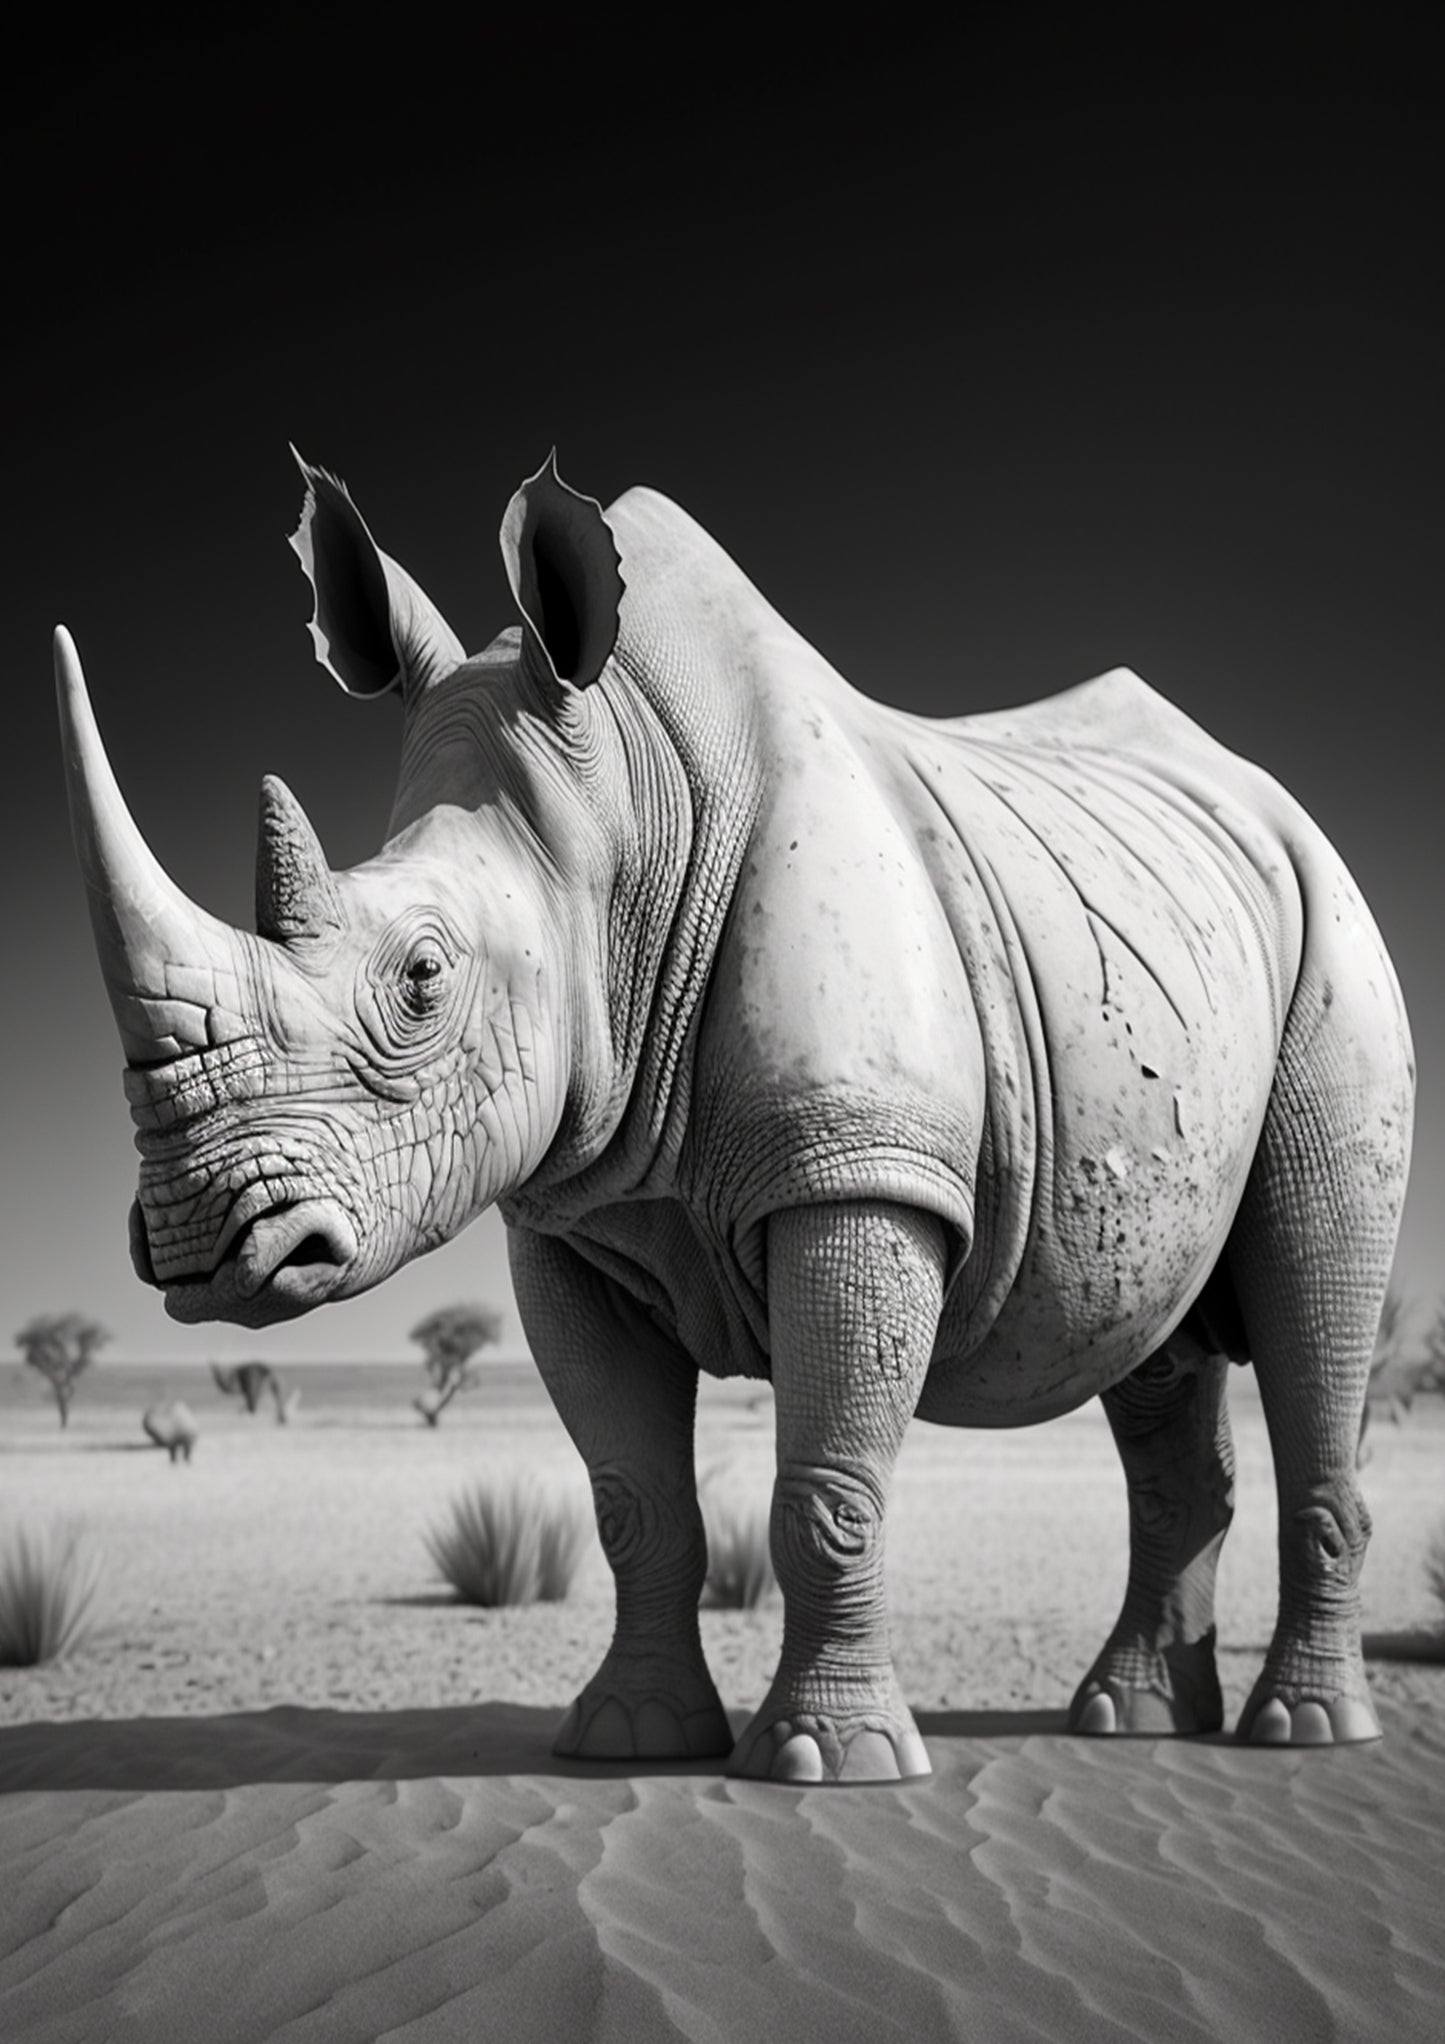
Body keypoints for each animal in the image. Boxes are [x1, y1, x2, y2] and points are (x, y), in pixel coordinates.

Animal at [55, 454, 1414, 1782]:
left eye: (422, 977)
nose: (197, 1243)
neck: (616, 820)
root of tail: (1269, 800)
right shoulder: (572, 1216)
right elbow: (631, 1499)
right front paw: (626, 1738)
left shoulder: (858, 1168)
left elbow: (825, 1491)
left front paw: (829, 1760)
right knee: (1148, 1334)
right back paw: (1128, 1719)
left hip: (1333, 931)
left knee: (1313, 1279)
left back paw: (1302, 1732)